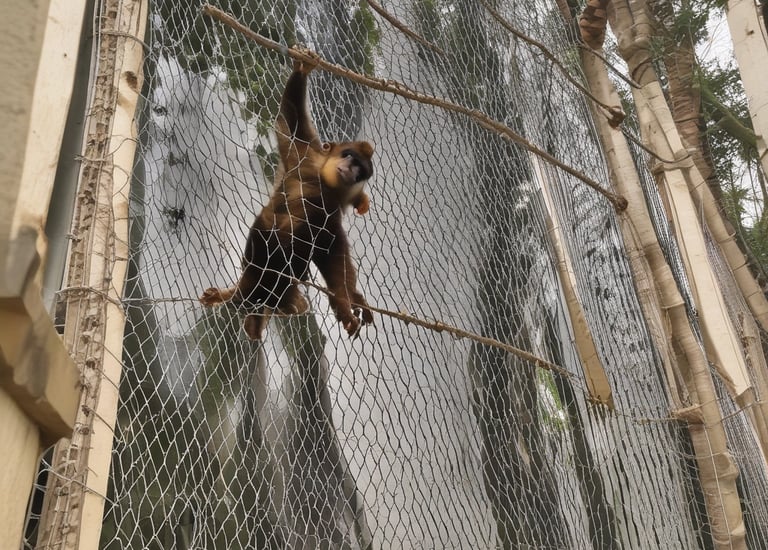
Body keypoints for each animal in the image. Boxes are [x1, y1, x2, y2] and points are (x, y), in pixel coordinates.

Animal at [199, 55, 375, 341]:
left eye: (360, 170)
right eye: (349, 156)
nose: (350, 170)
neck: (324, 186)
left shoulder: (332, 213)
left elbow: (332, 254)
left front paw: (346, 303)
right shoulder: (303, 156)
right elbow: (292, 120)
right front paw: (302, 69)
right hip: (258, 261)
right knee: (272, 235)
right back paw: (241, 297)